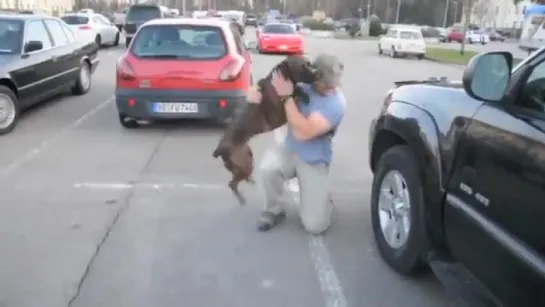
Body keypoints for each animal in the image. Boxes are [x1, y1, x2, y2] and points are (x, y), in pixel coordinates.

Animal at [209, 56, 318, 205]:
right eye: (302, 67)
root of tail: (219, 149)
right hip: (245, 164)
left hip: (247, 158)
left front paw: (301, 92)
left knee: (237, 179)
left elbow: (296, 90)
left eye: (309, 64)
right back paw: (242, 198)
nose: (317, 75)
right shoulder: (279, 116)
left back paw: (249, 181)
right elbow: (292, 96)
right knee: (232, 184)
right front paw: (300, 94)